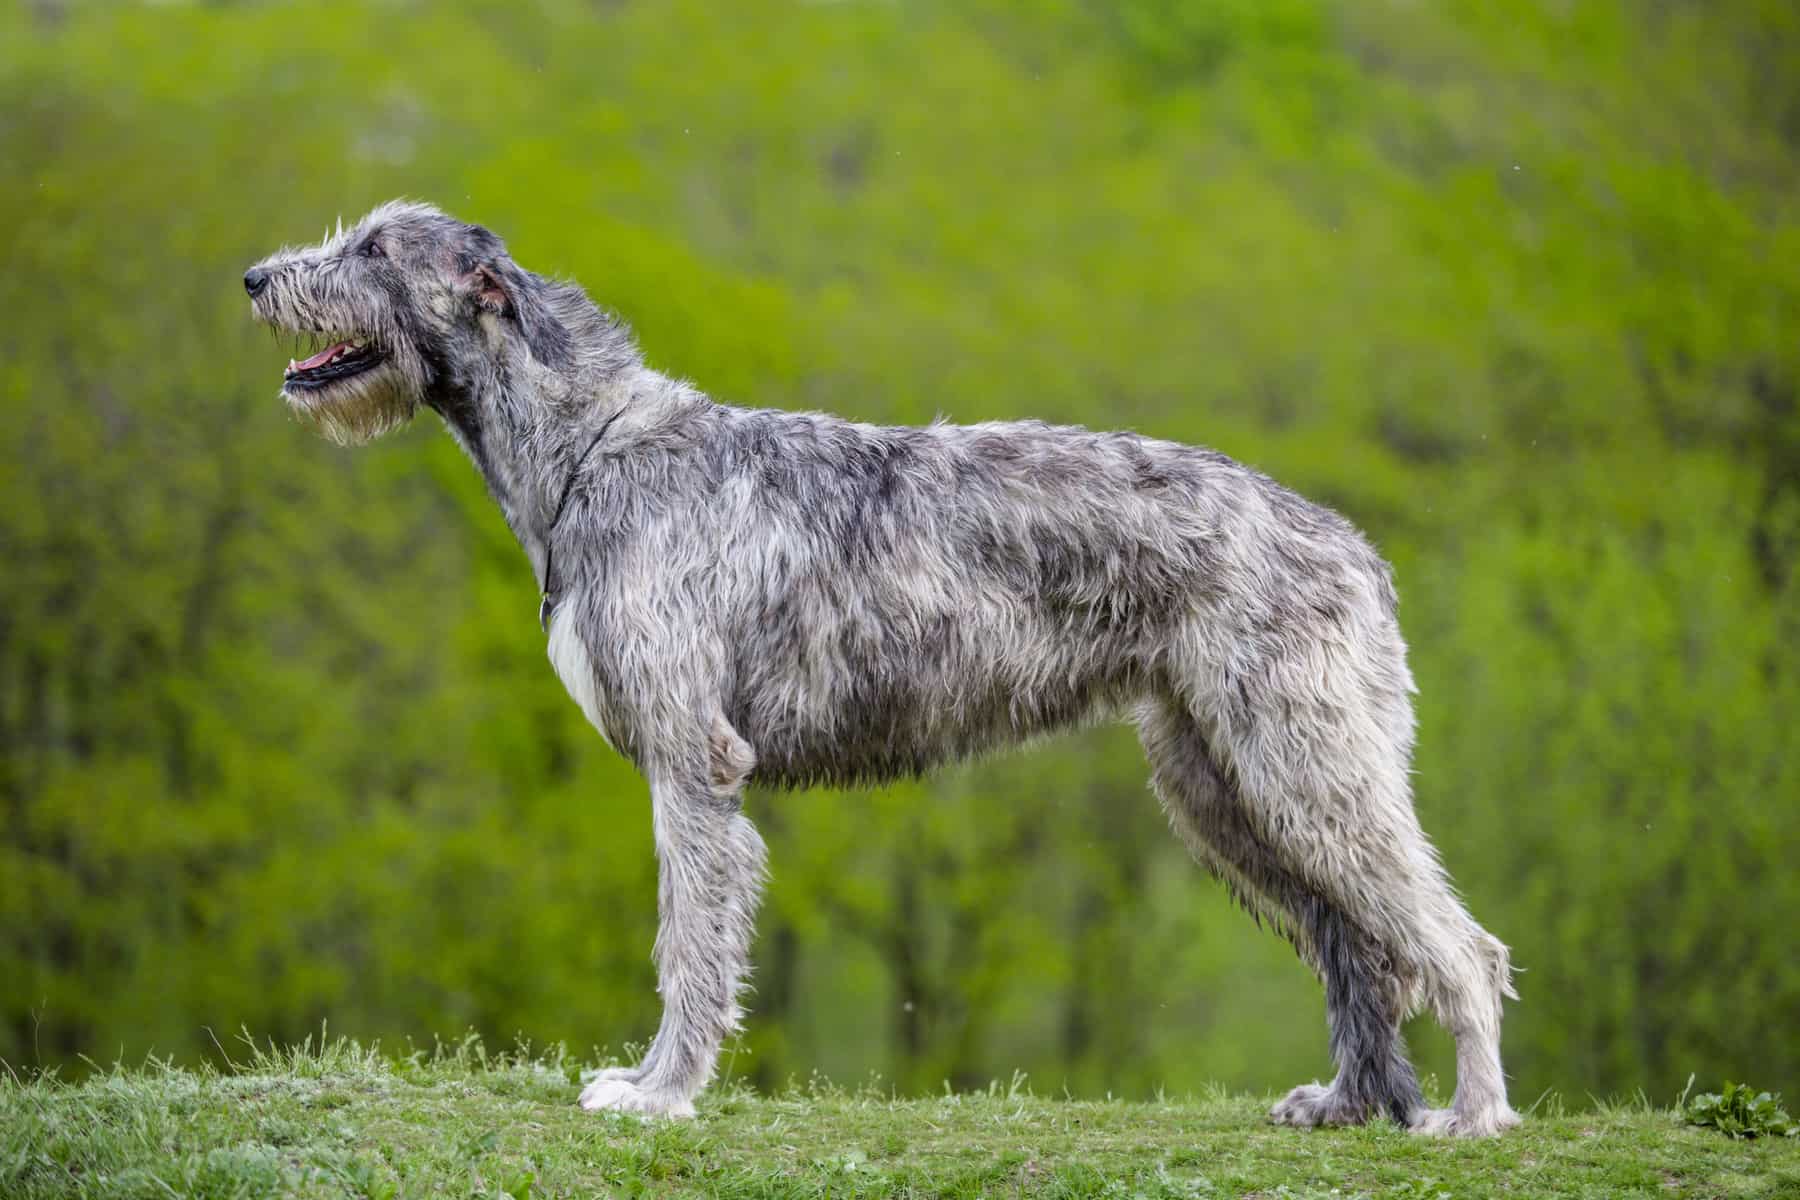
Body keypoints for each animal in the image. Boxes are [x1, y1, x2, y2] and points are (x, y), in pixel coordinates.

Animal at [246, 204, 1519, 1137]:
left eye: (374, 248)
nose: (257, 277)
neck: (593, 446)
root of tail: (1353, 546)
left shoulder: (693, 762)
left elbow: (688, 942)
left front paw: (657, 1092)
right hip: (1224, 787)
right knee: (1358, 946)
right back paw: (1352, 1104)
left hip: (1305, 764)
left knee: (1460, 947)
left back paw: (1471, 1117)